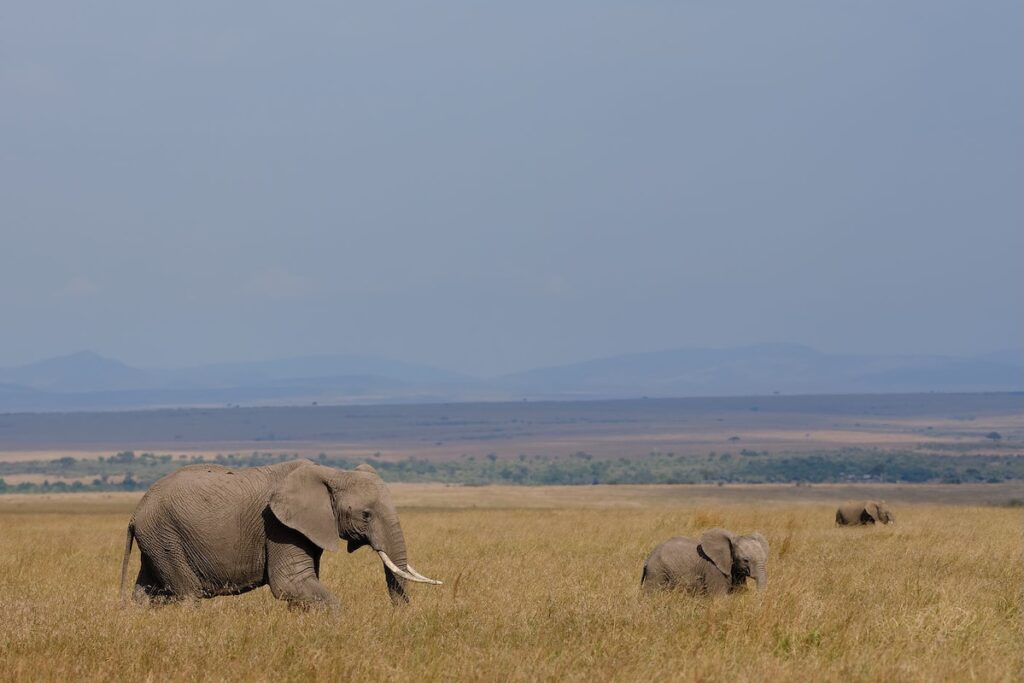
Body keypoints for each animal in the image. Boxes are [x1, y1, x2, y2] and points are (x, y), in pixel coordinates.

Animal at [119, 459, 441, 608]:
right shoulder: (279, 526)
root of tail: (136, 512)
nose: (401, 617)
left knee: (147, 592)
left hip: (158, 540)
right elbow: (291, 584)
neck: (332, 473)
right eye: (365, 515)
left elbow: (301, 585)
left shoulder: (304, 528)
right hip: (167, 536)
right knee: (187, 595)